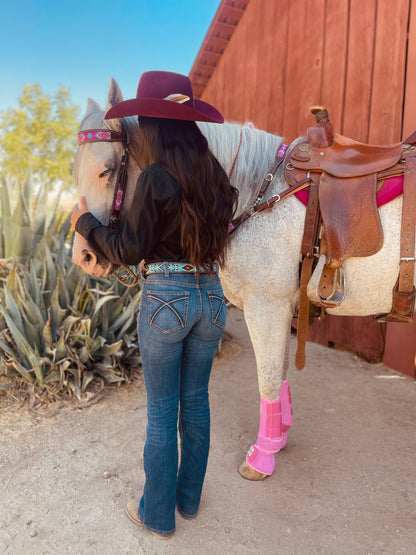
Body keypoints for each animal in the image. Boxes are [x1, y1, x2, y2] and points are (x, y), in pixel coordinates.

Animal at [71, 78, 412, 482]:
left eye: (106, 171)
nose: (84, 257)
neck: (260, 192)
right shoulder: (282, 309)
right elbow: (280, 371)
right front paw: (279, 436)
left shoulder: (266, 307)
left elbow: (268, 378)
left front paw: (263, 456)